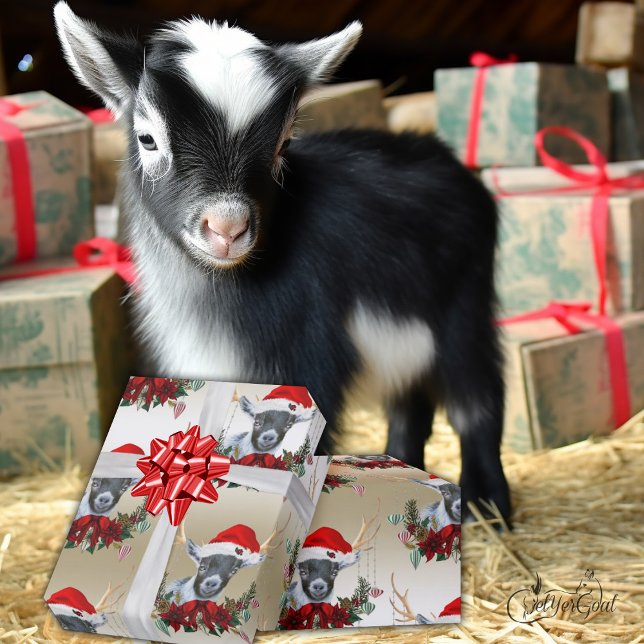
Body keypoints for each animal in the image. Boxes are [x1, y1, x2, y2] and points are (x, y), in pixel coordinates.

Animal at [54, 2, 511, 523]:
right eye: (147, 139)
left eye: (283, 144)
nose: (227, 227)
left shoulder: (310, 354)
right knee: (410, 401)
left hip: (465, 307)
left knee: (478, 398)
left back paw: (487, 503)